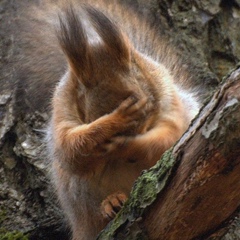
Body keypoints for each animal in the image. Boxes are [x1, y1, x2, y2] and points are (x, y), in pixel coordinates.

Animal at [14, 0, 201, 240]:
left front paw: (127, 146)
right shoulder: (61, 110)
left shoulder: (170, 100)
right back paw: (111, 202)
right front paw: (115, 121)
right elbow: (70, 149)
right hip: (79, 195)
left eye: (148, 104)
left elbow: (168, 138)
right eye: (93, 114)